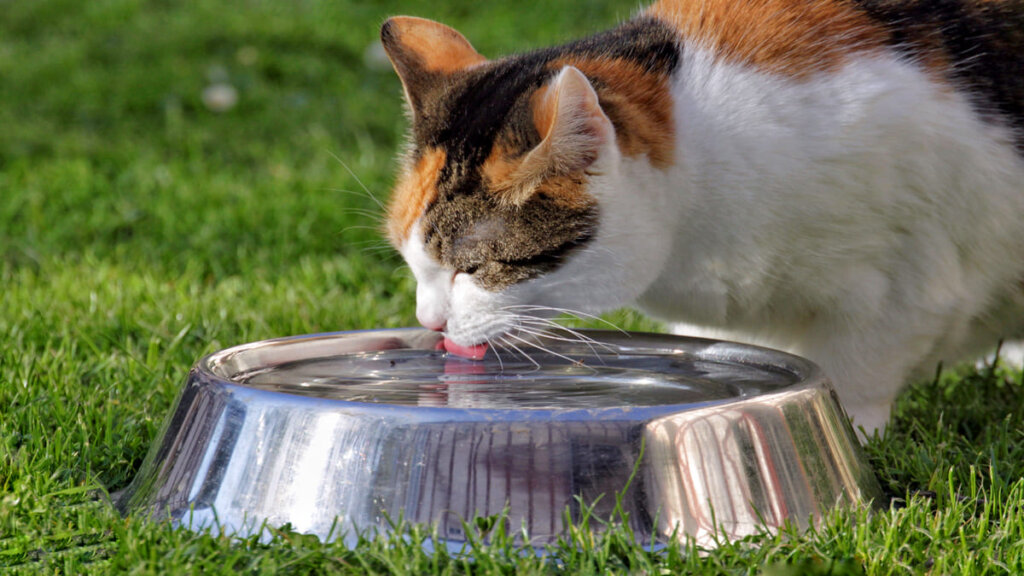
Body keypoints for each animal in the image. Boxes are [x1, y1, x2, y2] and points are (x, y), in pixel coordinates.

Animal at [378, 0, 1024, 430]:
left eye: (474, 268)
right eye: (412, 263)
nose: (430, 322)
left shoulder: (908, 284)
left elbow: (855, 375)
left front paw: (851, 432)